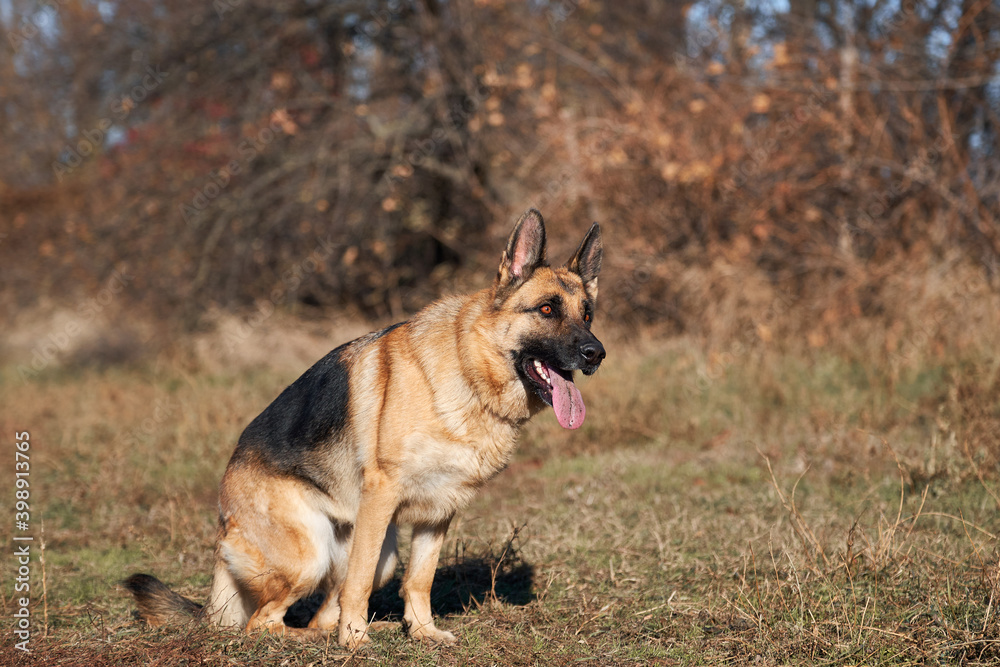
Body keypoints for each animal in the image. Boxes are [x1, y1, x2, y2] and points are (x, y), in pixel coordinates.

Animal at [129, 209, 604, 648]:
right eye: (546, 310)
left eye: (587, 315)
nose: (596, 354)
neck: (469, 371)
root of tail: (223, 525)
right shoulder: (382, 495)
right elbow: (356, 586)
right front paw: (355, 641)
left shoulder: (440, 511)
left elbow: (421, 579)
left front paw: (423, 632)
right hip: (312, 553)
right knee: (263, 625)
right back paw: (327, 637)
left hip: (384, 555)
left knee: (319, 612)